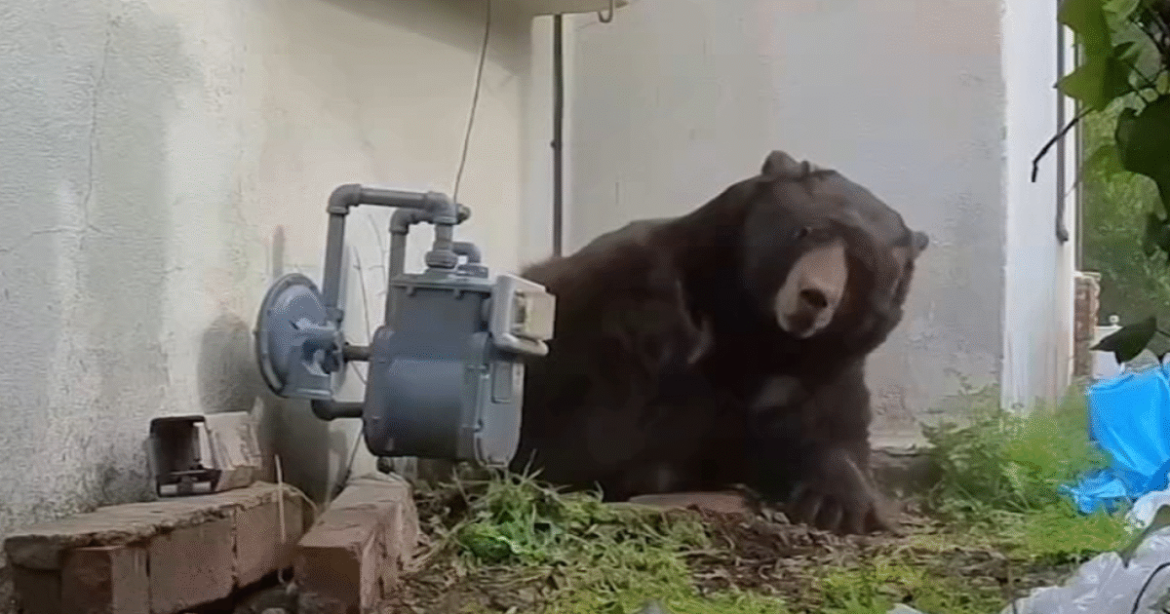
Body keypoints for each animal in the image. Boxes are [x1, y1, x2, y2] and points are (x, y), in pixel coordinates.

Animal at [510, 150, 929, 535]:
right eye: (805, 231)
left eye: (861, 263)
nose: (814, 296)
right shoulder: (627, 299)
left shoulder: (824, 367)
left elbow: (830, 429)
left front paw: (837, 503)